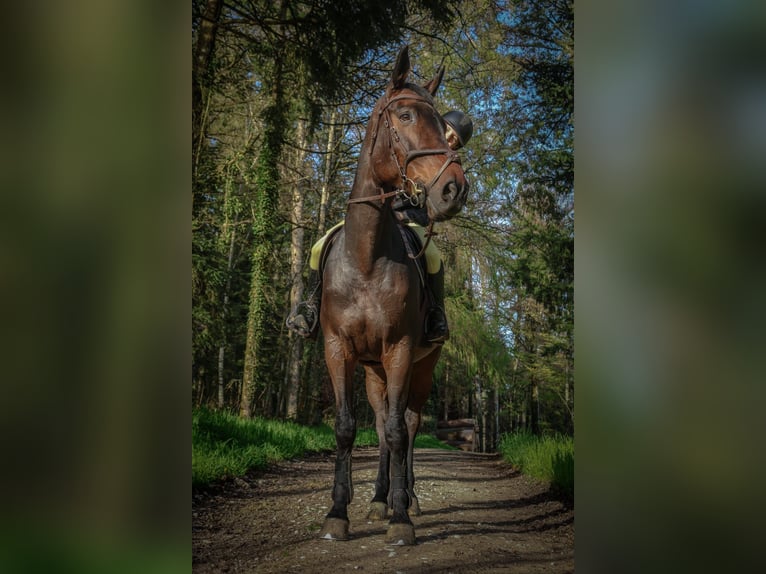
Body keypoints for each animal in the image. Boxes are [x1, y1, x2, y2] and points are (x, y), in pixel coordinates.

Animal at [316, 46, 468, 548]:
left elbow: (403, 433)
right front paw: (338, 512)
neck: (366, 258)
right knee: (382, 425)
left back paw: (408, 499)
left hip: (421, 366)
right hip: (373, 371)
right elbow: (349, 428)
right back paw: (380, 498)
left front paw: (402, 520)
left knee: (410, 424)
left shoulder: (401, 351)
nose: (454, 188)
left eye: (444, 126)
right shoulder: (338, 350)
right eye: (405, 115)